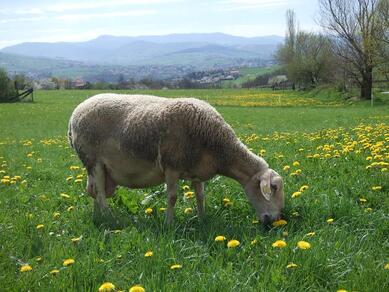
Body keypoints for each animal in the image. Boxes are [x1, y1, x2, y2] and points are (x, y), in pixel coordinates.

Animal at [68, 92, 284, 225]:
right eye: (273, 188)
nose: (274, 220)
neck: (218, 147)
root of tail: (74, 115)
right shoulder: (171, 166)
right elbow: (172, 197)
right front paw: (169, 223)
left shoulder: (197, 171)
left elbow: (200, 196)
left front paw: (202, 219)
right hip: (92, 159)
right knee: (100, 193)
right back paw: (109, 218)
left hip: (101, 169)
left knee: (94, 191)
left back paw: (98, 217)